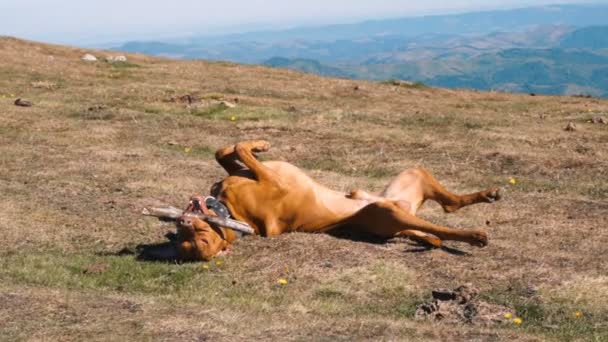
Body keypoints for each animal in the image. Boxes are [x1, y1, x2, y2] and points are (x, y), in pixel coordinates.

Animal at [176, 140, 498, 260]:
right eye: (200, 242)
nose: (184, 222)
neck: (229, 211)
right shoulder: (272, 180)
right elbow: (240, 149)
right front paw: (257, 144)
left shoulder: (248, 173)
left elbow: (225, 151)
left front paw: (258, 144)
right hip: (387, 209)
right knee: (441, 224)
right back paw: (474, 236)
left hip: (410, 179)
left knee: (447, 205)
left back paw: (488, 194)